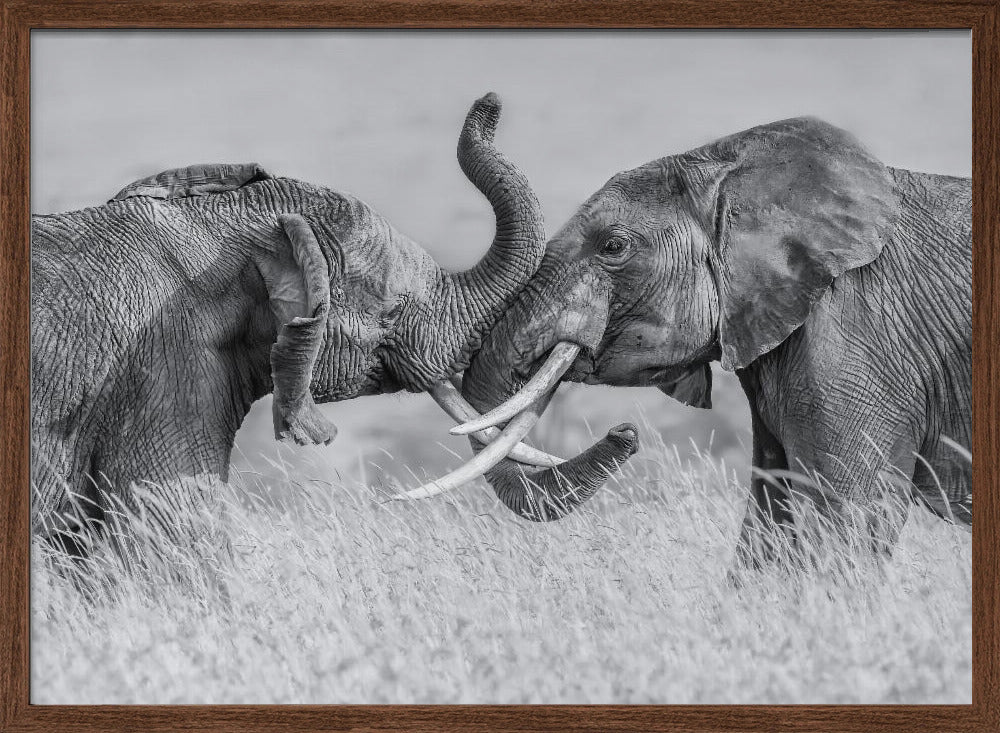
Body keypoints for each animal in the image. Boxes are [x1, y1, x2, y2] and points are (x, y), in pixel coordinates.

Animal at [423, 116, 971, 561]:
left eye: (613, 246)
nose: (626, 433)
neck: (732, 168)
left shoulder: (858, 335)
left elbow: (845, 521)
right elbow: (769, 520)